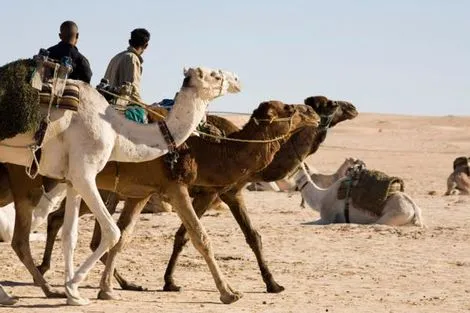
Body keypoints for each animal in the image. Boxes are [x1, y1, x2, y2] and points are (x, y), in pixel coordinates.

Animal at [0, 64, 241, 304]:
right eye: (215, 75)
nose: (237, 80)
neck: (117, 133)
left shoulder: (74, 178)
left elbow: (71, 236)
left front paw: (74, 294)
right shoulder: (86, 173)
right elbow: (113, 232)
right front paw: (228, 293)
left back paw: (25, 293)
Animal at [0, 100, 320, 300]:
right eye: (290, 108)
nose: (314, 112)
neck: (207, 149)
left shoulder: (141, 193)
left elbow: (124, 236)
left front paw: (107, 289)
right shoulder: (181, 187)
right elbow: (199, 236)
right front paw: (228, 292)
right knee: (29, 234)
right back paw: (43, 283)